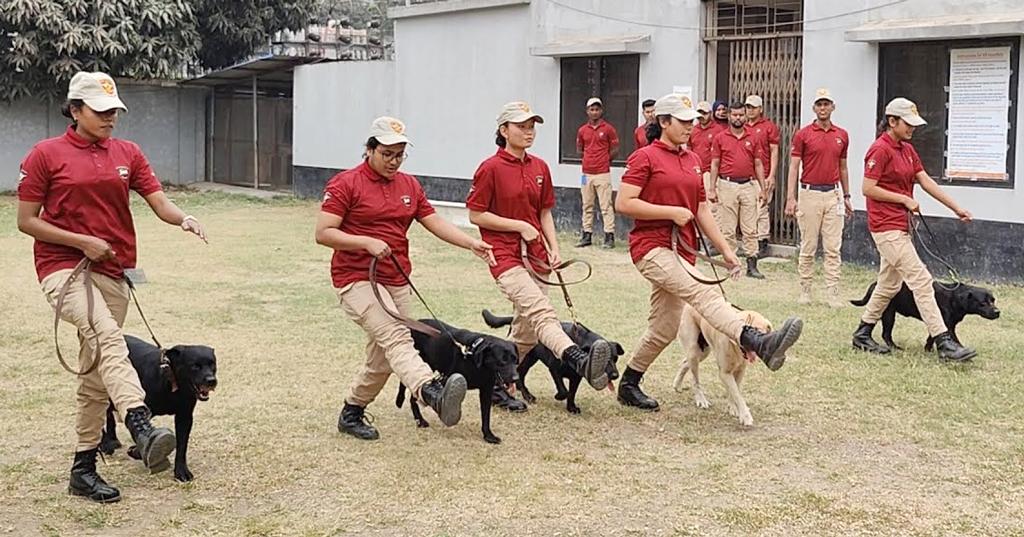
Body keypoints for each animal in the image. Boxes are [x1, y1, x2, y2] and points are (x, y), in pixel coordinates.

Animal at [99, 336, 216, 481]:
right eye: (195, 366)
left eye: (213, 364)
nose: (211, 380)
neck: (172, 383)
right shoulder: (141, 408)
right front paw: (138, 451)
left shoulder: (184, 417)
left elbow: (182, 446)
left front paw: (181, 471)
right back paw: (106, 443)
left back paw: (113, 440)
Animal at [481, 307, 622, 414]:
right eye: (605, 360)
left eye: (615, 359)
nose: (615, 375)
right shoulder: (554, 369)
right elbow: (564, 390)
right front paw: (559, 396)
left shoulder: (576, 377)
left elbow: (572, 393)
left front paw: (571, 408)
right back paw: (526, 396)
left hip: (531, 359)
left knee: (521, 375)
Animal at [847, 280, 999, 352]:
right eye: (983, 303)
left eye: (993, 300)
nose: (998, 312)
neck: (954, 298)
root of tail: (875, 284)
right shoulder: (948, 326)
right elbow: (954, 340)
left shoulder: (943, 323)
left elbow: (932, 337)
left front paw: (928, 350)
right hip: (889, 314)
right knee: (886, 334)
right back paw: (895, 348)